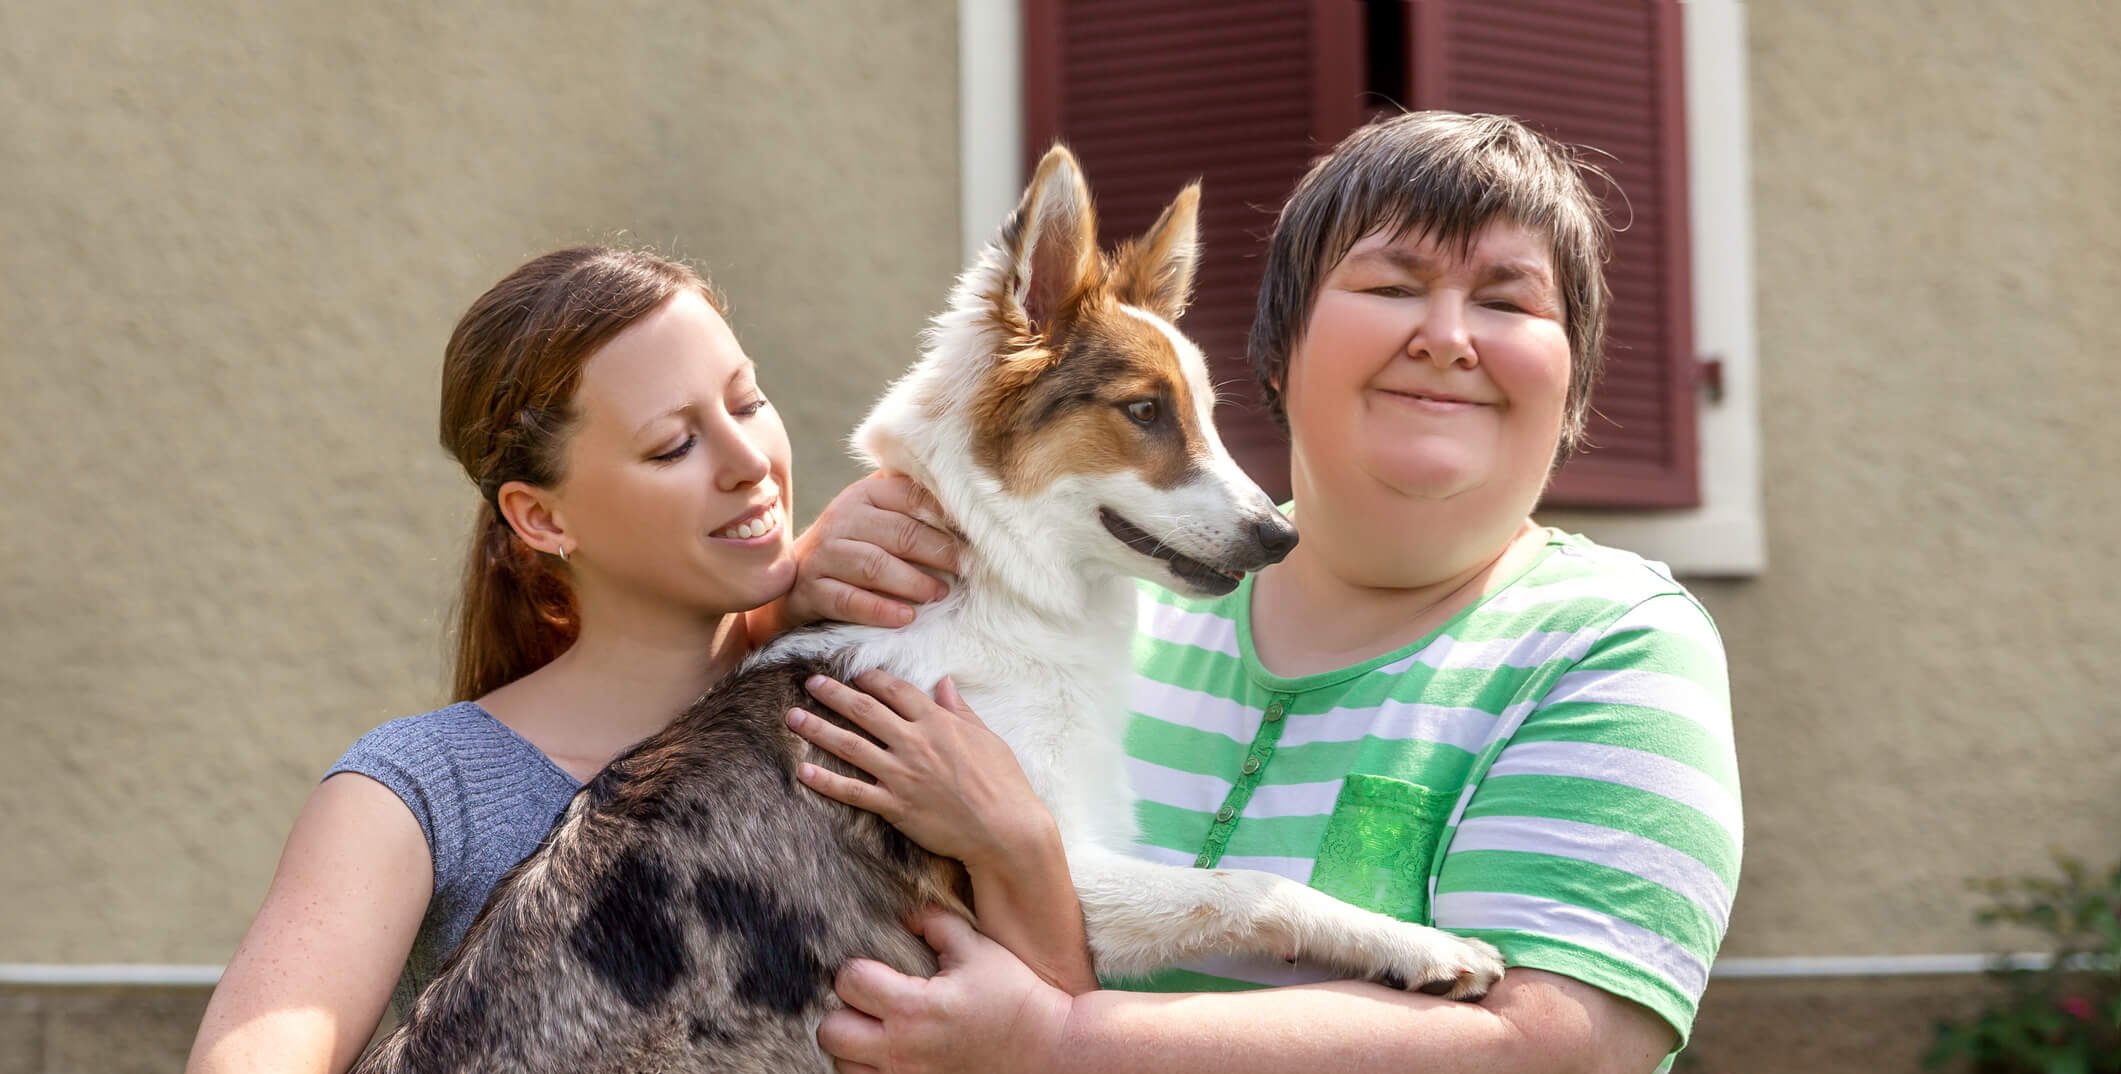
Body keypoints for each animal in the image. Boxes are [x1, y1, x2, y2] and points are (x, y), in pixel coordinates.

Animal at [347, 144, 1501, 1074]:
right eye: (1143, 412)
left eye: (1208, 415)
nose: (1281, 538)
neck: (1003, 587)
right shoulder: (1053, 870)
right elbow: (1252, 888)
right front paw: (1428, 949)